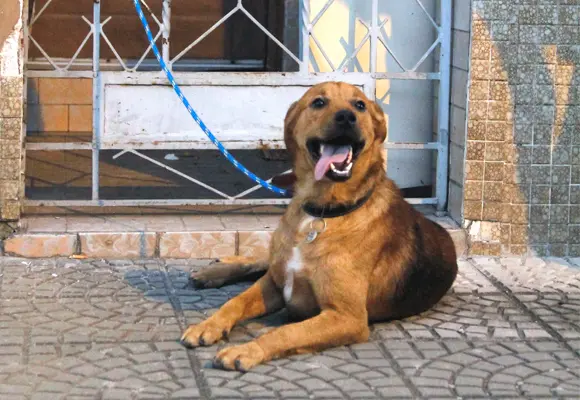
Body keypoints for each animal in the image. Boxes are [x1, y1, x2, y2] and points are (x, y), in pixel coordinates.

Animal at [181, 81, 458, 372]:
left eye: (360, 105)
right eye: (318, 102)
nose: (346, 117)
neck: (323, 211)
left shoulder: (346, 317)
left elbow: (284, 332)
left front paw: (246, 349)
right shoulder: (275, 283)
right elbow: (235, 302)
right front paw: (208, 324)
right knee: (261, 261)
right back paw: (214, 270)